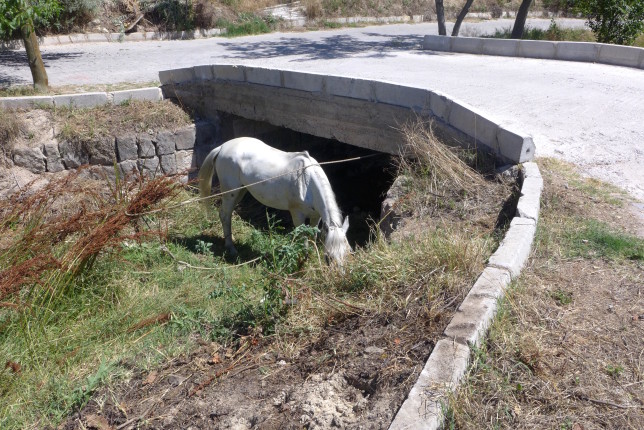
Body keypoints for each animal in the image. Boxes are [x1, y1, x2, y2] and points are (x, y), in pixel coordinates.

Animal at [201, 137, 352, 266]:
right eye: (329, 257)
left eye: (347, 253)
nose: (339, 275)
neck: (307, 181)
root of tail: (222, 147)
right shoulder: (297, 215)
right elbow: (302, 237)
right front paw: (303, 259)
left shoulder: (316, 216)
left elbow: (312, 236)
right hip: (230, 193)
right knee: (225, 215)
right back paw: (231, 248)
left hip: (241, 191)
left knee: (227, 214)